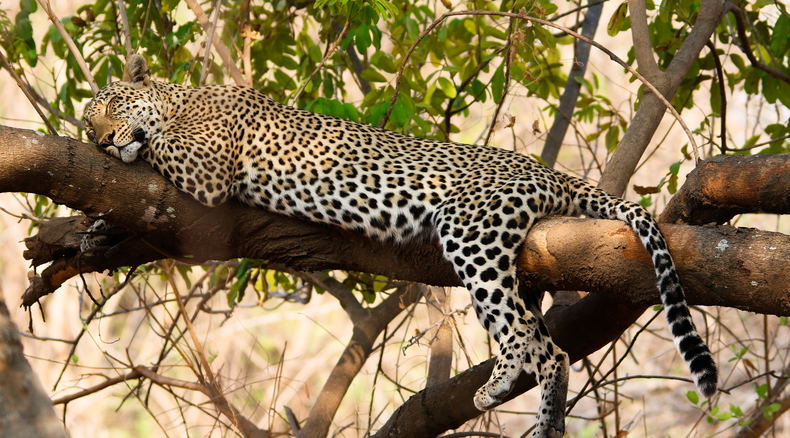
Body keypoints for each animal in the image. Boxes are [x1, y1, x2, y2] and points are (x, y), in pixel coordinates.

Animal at [83, 54, 717, 436]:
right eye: (89, 126)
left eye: (110, 108)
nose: (102, 142)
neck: (182, 98)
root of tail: (546, 170)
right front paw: (95, 231)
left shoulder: (207, 169)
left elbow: (157, 149)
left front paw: (125, 164)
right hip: (502, 259)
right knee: (549, 348)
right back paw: (541, 422)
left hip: (472, 233)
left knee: (526, 339)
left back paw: (494, 388)